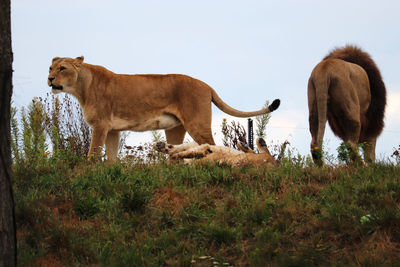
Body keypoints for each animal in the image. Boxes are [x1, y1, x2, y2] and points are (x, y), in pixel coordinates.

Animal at [48, 56, 280, 160]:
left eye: (62, 68)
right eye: (50, 68)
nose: (49, 79)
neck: (81, 87)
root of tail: (207, 85)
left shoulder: (100, 125)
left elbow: (93, 152)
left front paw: (89, 170)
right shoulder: (112, 129)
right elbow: (111, 157)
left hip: (197, 123)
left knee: (212, 145)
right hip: (175, 128)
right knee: (177, 150)